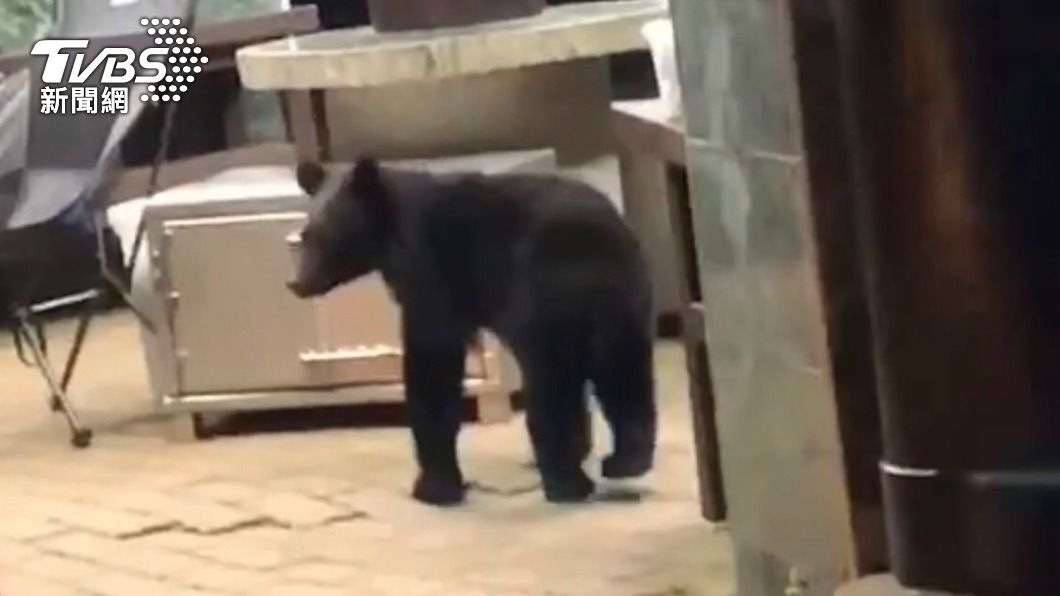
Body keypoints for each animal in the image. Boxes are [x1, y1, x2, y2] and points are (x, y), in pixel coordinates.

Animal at [287, 158, 657, 506]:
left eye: (321, 235)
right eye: (305, 235)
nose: (296, 283)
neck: (390, 232)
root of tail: (591, 241)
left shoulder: (433, 271)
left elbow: (432, 359)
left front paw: (434, 486)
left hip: (542, 294)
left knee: (553, 381)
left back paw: (566, 481)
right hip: (624, 301)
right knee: (623, 373)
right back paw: (623, 461)